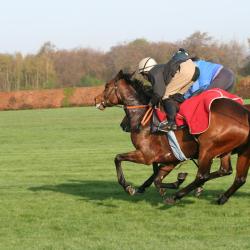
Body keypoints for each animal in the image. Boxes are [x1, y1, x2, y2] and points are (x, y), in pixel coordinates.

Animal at [94, 70, 250, 205]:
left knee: (203, 176)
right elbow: (157, 179)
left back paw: (176, 197)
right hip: (235, 151)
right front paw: (175, 181)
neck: (144, 118)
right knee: (235, 176)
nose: (96, 99)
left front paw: (128, 187)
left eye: (106, 86)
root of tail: (244, 113)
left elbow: (118, 158)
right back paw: (221, 198)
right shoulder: (170, 159)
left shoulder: (146, 155)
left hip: (208, 149)